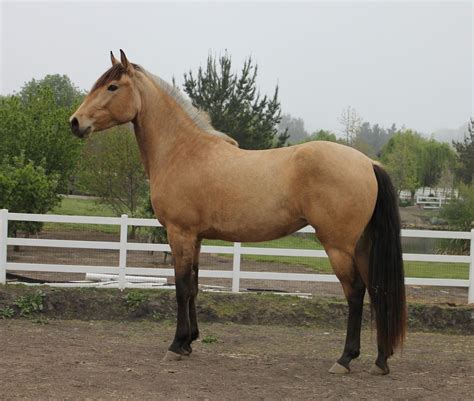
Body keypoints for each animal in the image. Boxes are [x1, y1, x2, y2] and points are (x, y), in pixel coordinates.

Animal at [68, 50, 406, 376]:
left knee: (355, 292)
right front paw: (189, 342)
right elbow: (194, 286)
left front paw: (176, 345)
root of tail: (368, 163)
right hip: (362, 245)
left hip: (338, 246)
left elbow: (180, 288)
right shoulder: (196, 238)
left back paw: (345, 358)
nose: (75, 122)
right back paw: (381, 360)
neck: (183, 151)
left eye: (112, 87)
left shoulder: (179, 233)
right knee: (377, 290)